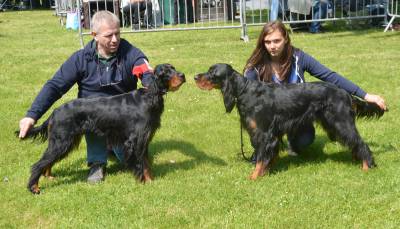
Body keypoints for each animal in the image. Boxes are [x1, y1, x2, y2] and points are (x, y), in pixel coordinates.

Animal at [15, 63, 184, 194]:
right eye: (165, 72)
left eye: (173, 68)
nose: (183, 75)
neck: (149, 97)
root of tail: (55, 112)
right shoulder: (135, 141)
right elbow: (141, 164)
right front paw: (145, 182)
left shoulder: (144, 140)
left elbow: (147, 163)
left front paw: (152, 181)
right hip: (62, 141)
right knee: (38, 164)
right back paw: (34, 187)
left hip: (64, 142)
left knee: (47, 161)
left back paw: (48, 176)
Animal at [195, 63, 386, 180]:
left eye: (212, 73)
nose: (195, 76)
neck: (244, 91)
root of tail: (345, 93)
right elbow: (268, 156)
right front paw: (266, 171)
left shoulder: (264, 134)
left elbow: (261, 157)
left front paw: (255, 176)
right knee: (355, 143)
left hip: (341, 122)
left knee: (360, 143)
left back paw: (366, 166)